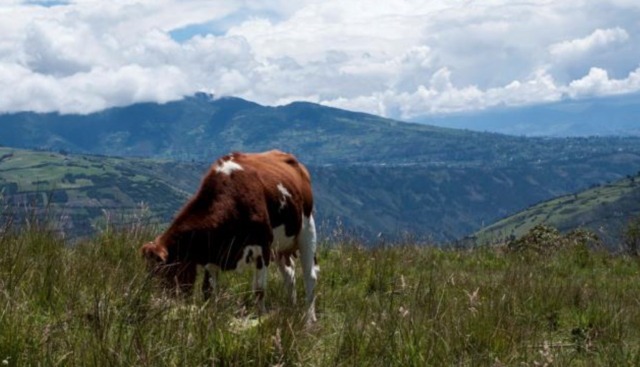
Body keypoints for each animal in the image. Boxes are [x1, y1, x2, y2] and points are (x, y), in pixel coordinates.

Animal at [141, 151, 318, 324]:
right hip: (281, 246)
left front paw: (261, 318)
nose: (160, 305)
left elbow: (259, 289)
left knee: (310, 275)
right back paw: (292, 308)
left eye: (165, 272)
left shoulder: (263, 246)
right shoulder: (212, 255)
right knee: (289, 273)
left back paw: (309, 319)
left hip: (307, 228)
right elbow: (208, 290)